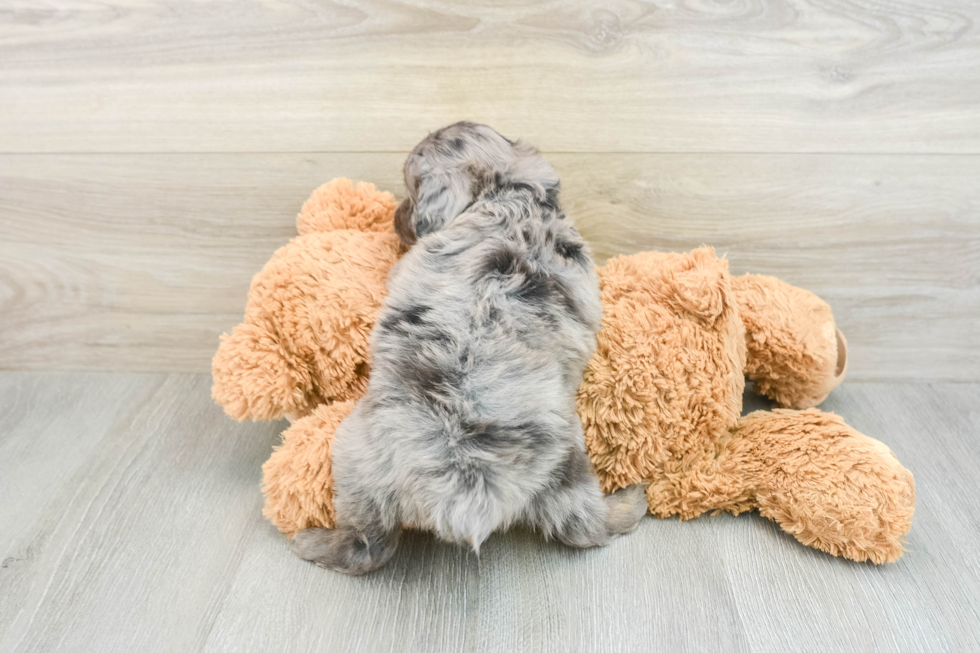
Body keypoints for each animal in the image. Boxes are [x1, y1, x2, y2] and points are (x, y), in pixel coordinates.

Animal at [288, 123, 648, 576]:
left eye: (411, 189)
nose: (395, 216)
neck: (512, 193)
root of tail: (468, 479)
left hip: (356, 457)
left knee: (368, 546)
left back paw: (313, 543)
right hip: (568, 461)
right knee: (584, 526)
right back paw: (630, 506)